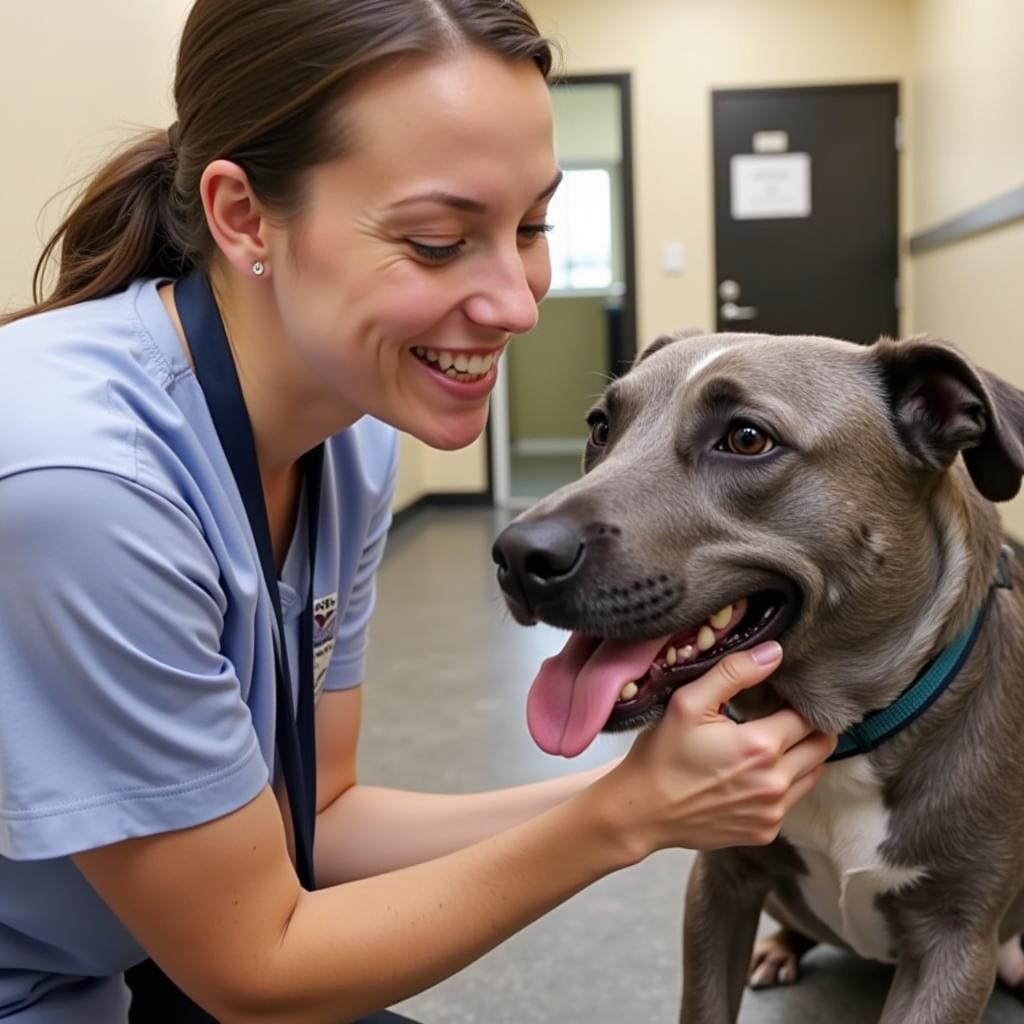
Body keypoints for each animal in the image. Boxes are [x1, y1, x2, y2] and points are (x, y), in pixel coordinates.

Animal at [491, 331, 1024, 1019]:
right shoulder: (719, 884)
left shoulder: (954, 949)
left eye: (747, 438)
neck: (849, 740)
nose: (516, 557)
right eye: (601, 427)